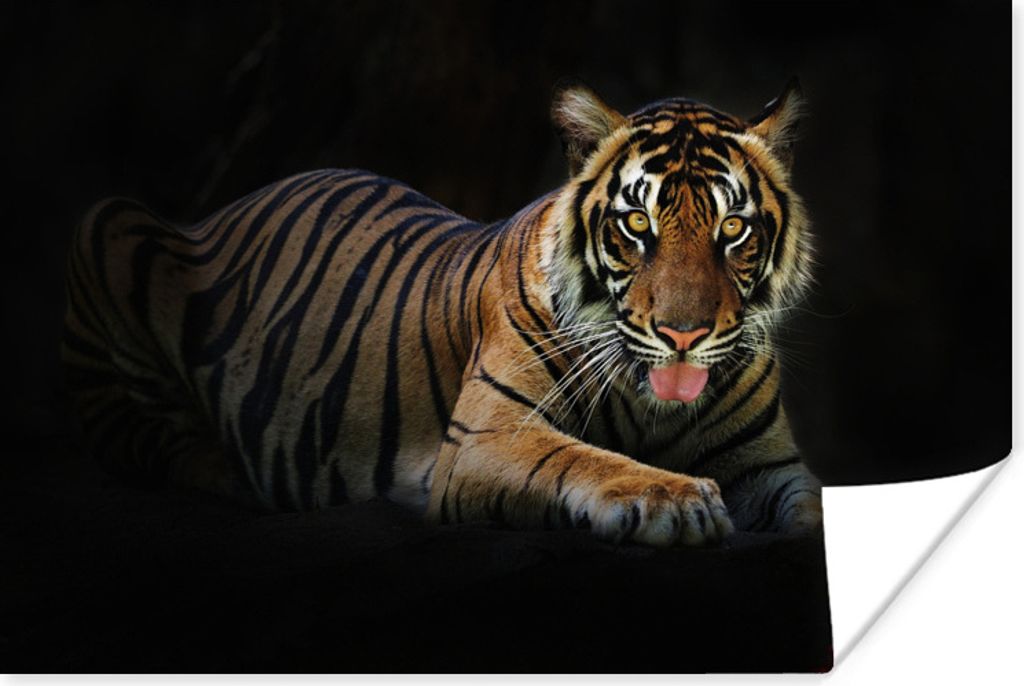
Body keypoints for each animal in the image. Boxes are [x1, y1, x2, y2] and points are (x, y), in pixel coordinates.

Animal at [61, 81, 822, 546]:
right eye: (638, 224)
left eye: (732, 229)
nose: (682, 335)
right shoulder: (488, 437)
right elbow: (581, 456)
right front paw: (675, 499)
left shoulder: (767, 465)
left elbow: (811, 504)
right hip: (109, 223)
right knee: (134, 435)